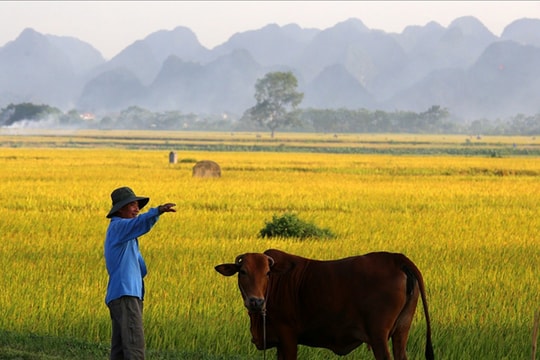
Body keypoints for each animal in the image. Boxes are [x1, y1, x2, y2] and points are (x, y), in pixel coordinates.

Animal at [215, 249, 434, 358]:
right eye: (243, 272)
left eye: (267, 273)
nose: (256, 302)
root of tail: (396, 258)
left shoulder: (288, 338)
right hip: (401, 331)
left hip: (378, 336)